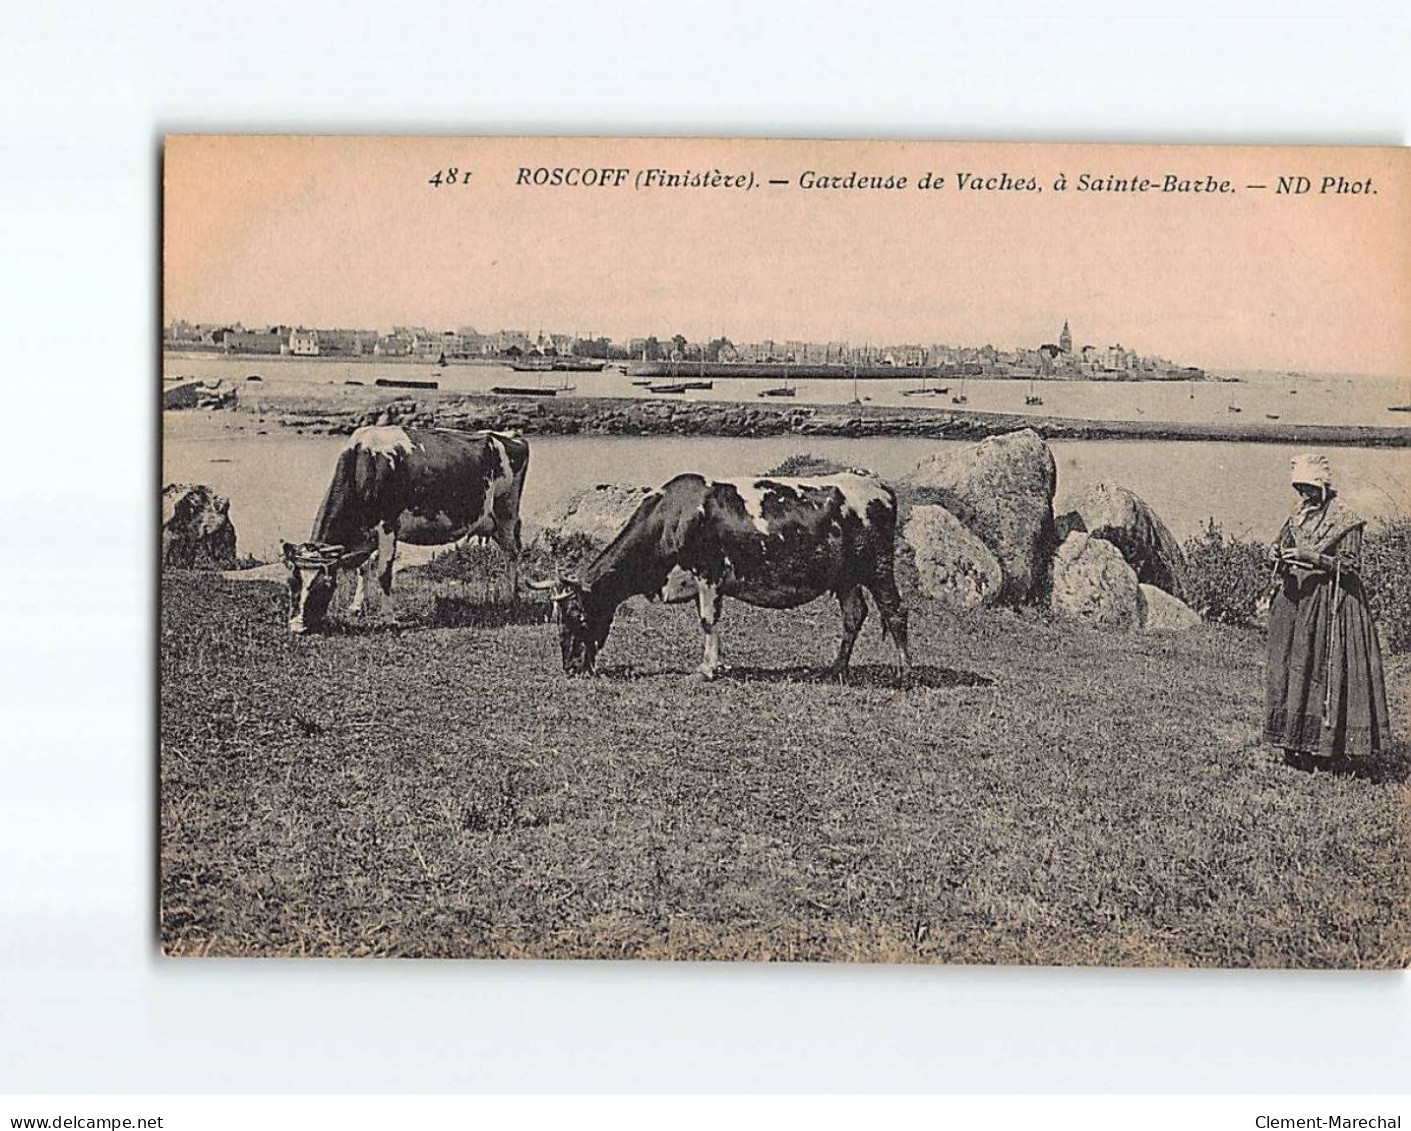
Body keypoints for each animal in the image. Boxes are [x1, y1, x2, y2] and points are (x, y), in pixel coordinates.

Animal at [283, 425, 527, 634]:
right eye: (292, 583)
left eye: (322, 586)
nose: (297, 628)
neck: (364, 466)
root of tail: (509, 434)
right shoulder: (367, 532)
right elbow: (363, 569)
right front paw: (357, 606)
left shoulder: (388, 525)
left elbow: (383, 574)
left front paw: (389, 618)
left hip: (506, 511)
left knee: (512, 553)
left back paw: (509, 597)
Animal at [524, 468, 908, 674]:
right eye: (558, 619)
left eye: (579, 616)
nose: (571, 667)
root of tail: (879, 485)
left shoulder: (708, 573)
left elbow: (708, 621)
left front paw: (708, 668)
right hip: (845, 576)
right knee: (854, 615)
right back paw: (837, 667)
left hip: (878, 565)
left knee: (895, 611)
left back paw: (904, 669)